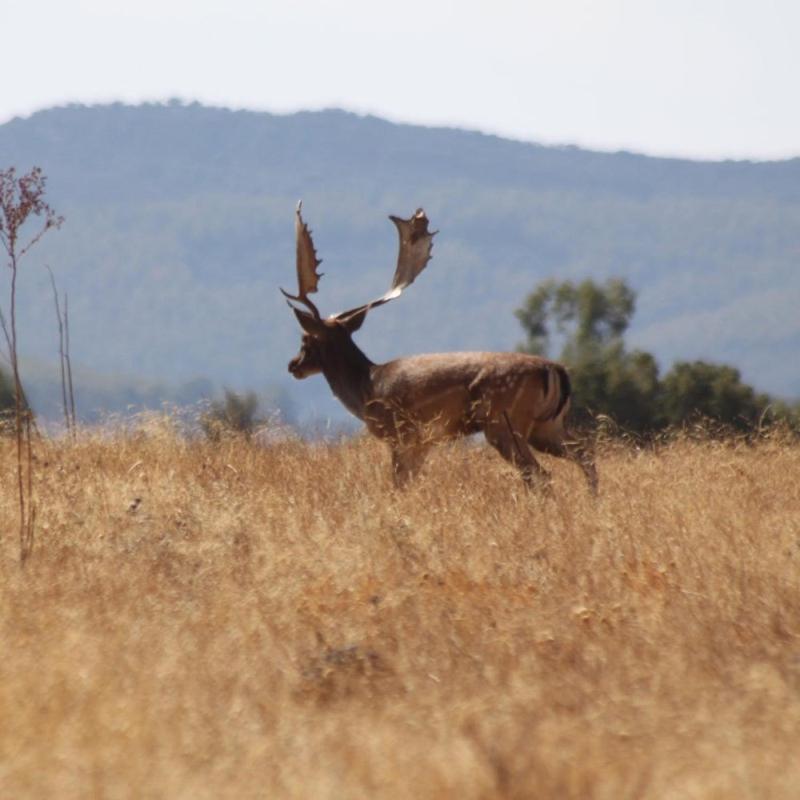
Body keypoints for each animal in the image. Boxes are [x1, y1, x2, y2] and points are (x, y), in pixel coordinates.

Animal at [284, 205, 596, 494]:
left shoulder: (402, 434)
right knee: (585, 457)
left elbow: (398, 485)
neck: (367, 390)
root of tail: (555, 370)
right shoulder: (423, 443)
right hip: (547, 426)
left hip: (505, 422)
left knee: (540, 474)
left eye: (306, 339)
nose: (293, 365)